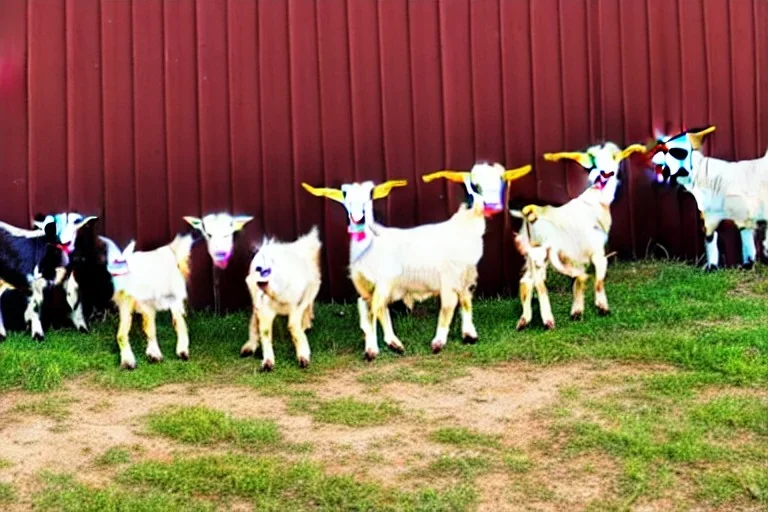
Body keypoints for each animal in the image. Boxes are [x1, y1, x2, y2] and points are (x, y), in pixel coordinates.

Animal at [242, 226, 322, 370]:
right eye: (258, 269)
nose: (261, 283)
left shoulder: (298, 303)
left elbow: (293, 327)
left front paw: (304, 360)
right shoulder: (264, 310)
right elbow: (265, 332)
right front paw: (267, 364)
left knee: (308, 306)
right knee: (254, 320)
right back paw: (247, 349)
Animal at [304, 164, 532, 360]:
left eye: (500, 181)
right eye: (474, 185)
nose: (492, 206)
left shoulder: (466, 276)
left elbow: (464, 301)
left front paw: (469, 335)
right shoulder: (447, 278)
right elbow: (448, 306)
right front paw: (438, 342)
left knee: (372, 308)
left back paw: (381, 345)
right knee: (372, 308)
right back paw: (384, 345)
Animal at [512, 142, 644, 330]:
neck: (595, 200)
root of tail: (529, 211)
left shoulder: (578, 257)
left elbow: (578, 282)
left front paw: (576, 312)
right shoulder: (597, 251)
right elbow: (599, 279)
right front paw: (602, 308)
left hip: (529, 253)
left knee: (526, 281)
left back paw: (524, 321)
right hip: (542, 253)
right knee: (539, 283)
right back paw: (548, 321)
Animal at [648, 127, 768, 272]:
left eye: (669, 150)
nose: (651, 157)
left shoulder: (743, 213)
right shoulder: (710, 217)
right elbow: (711, 241)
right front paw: (712, 268)